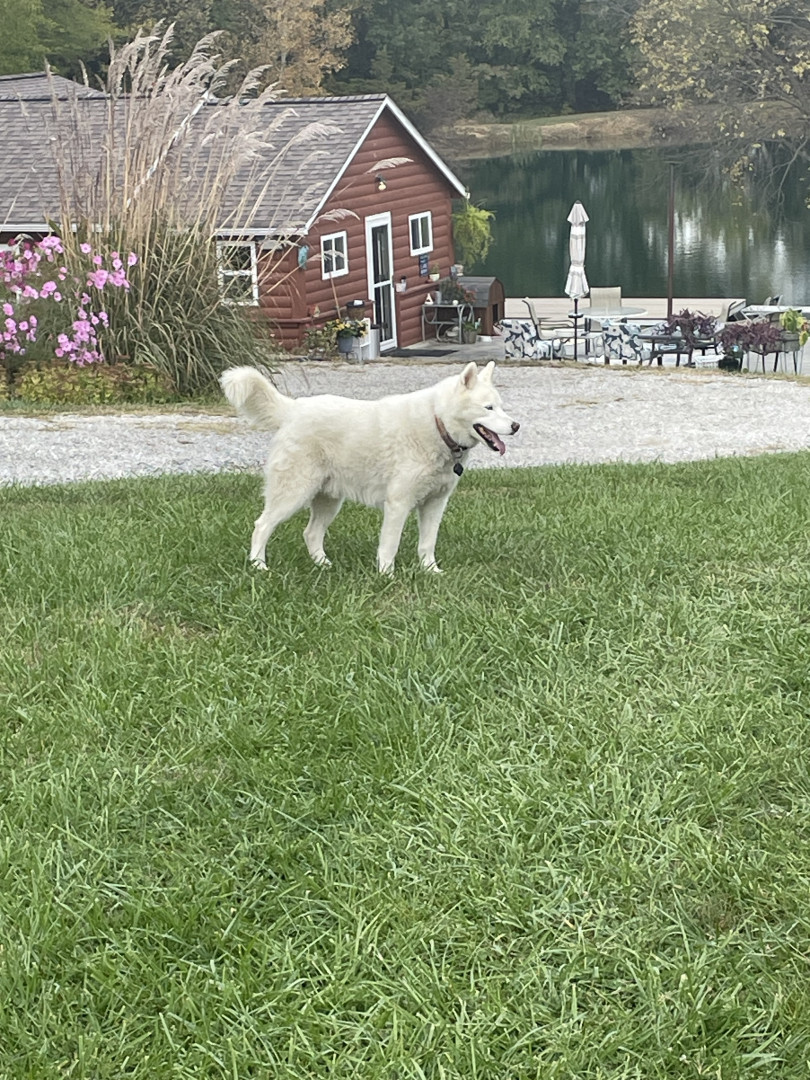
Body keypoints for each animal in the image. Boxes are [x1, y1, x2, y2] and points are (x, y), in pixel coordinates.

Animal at [220, 361, 519, 573]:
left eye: (502, 407)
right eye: (488, 408)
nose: (516, 426)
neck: (438, 424)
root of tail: (293, 409)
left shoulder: (435, 504)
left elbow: (427, 543)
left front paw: (430, 572)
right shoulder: (398, 504)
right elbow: (390, 545)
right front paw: (387, 576)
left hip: (328, 501)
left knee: (311, 533)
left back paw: (323, 565)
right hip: (293, 493)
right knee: (262, 525)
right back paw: (259, 566)